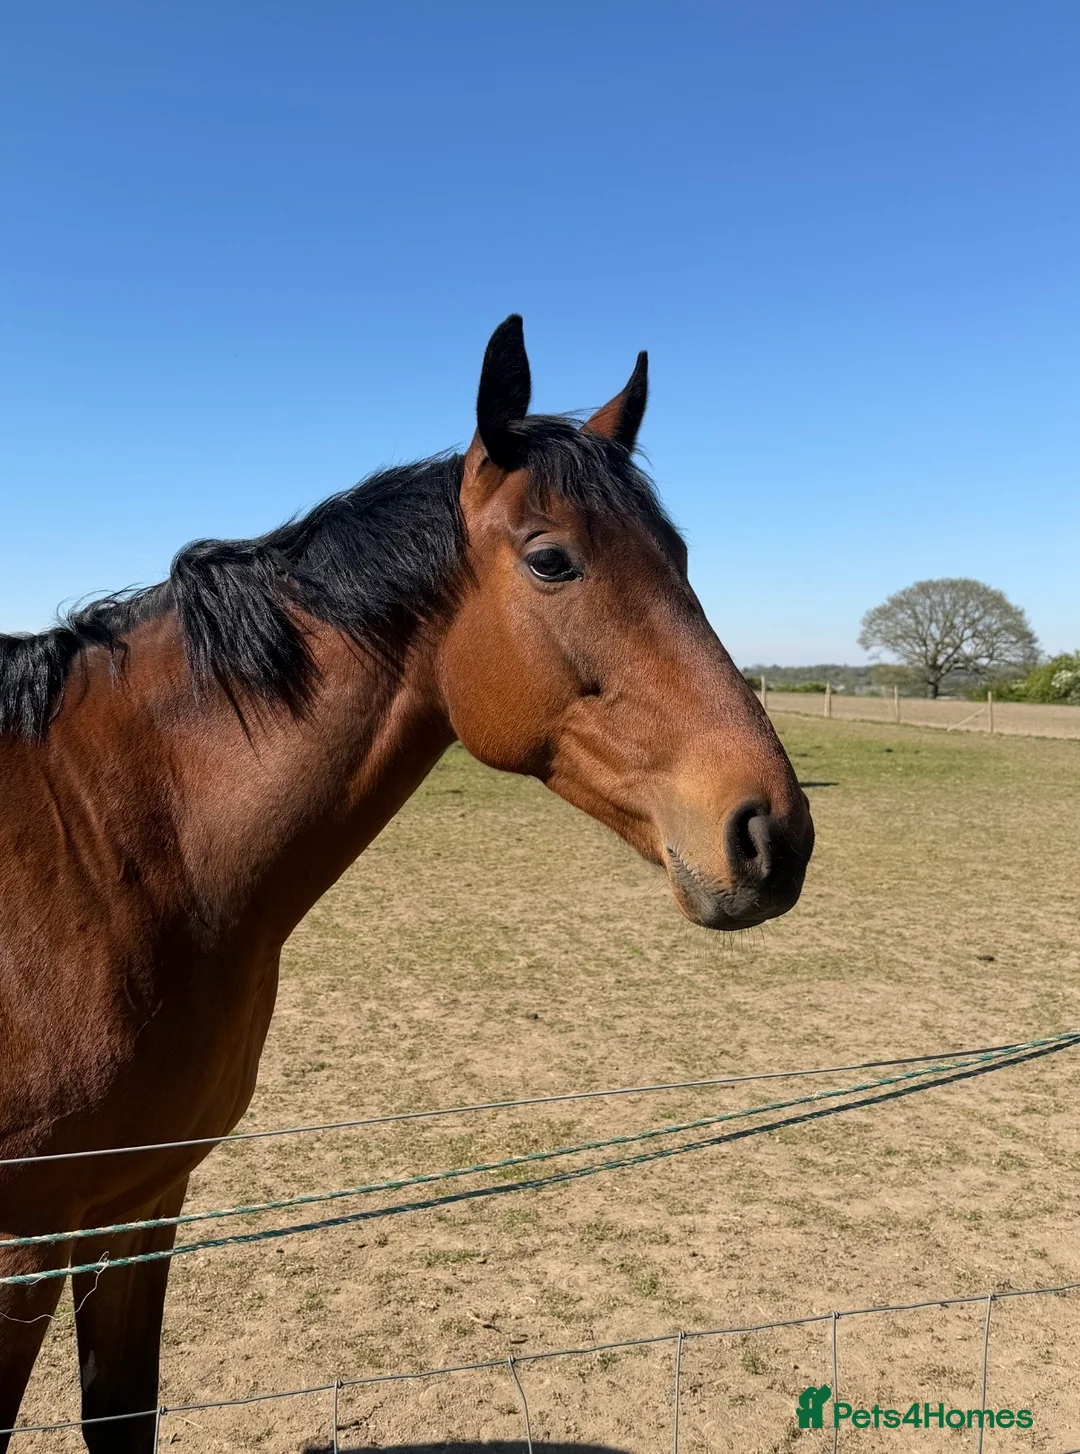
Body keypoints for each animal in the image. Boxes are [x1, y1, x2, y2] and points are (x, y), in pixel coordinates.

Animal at [0, 317, 813, 1447]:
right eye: (552, 559)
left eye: (682, 557)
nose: (772, 832)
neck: (113, 844)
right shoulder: (23, 1243)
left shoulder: (140, 1202)